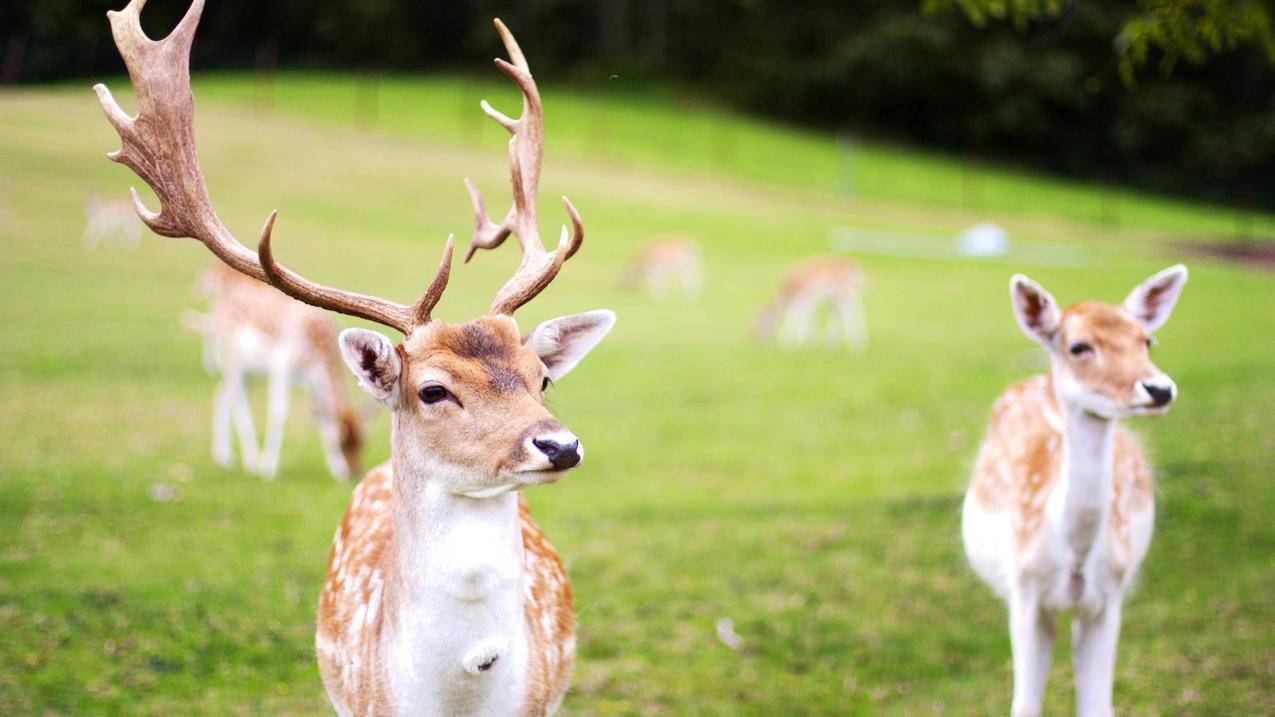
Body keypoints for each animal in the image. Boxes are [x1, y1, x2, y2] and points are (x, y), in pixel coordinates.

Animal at [184, 264, 367, 479]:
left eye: (362, 442)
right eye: (341, 441)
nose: (354, 472)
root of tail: (221, 308)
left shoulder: (311, 378)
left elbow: (319, 414)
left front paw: (336, 469)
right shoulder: (282, 363)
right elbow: (279, 411)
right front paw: (268, 467)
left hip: (251, 372)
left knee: (221, 393)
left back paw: (224, 457)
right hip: (232, 359)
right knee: (238, 401)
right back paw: (252, 460)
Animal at [958, 265, 1188, 709]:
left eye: (1146, 341)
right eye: (1079, 346)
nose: (1159, 389)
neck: (1074, 554)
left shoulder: (1109, 596)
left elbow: (1098, 705)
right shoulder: (1026, 594)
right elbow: (1024, 705)